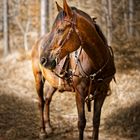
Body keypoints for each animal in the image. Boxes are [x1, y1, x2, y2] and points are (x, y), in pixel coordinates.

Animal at [31, 0, 116, 139]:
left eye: (60, 30)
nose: (43, 59)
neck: (96, 62)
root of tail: (38, 42)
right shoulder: (79, 93)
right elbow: (81, 123)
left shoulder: (101, 93)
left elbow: (96, 121)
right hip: (38, 77)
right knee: (41, 102)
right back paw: (43, 131)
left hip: (54, 83)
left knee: (48, 99)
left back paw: (48, 127)